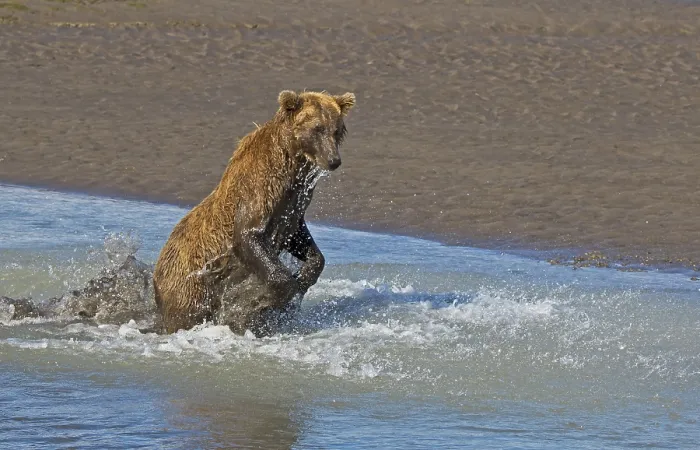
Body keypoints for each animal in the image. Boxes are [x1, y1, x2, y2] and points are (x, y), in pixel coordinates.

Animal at [152, 90, 356, 336]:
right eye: (317, 128)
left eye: (337, 129)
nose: (333, 160)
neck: (291, 166)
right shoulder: (259, 190)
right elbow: (248, 235)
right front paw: (258, 305)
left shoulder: (292, 208)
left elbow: (304, 244)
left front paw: (301, 279)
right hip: (188, 289)